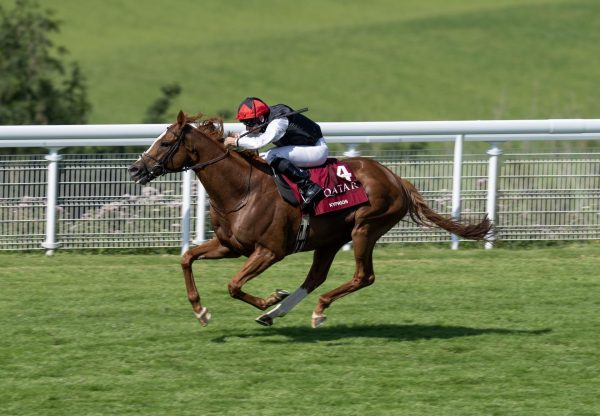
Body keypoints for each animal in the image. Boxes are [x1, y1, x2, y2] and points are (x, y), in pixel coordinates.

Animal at [129, 110, 490, 328]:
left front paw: (269, 297)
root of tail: (396, 178)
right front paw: (201, 311)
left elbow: (233, 285)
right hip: (330, 239)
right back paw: (280, 312)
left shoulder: (270, 251)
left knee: (363, 276)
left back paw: (313, 310)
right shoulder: (230, 245)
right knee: (316, 277)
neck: (242, 189)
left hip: (365, 228)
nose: (135, 168)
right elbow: (187, 258)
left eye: (165, 142)